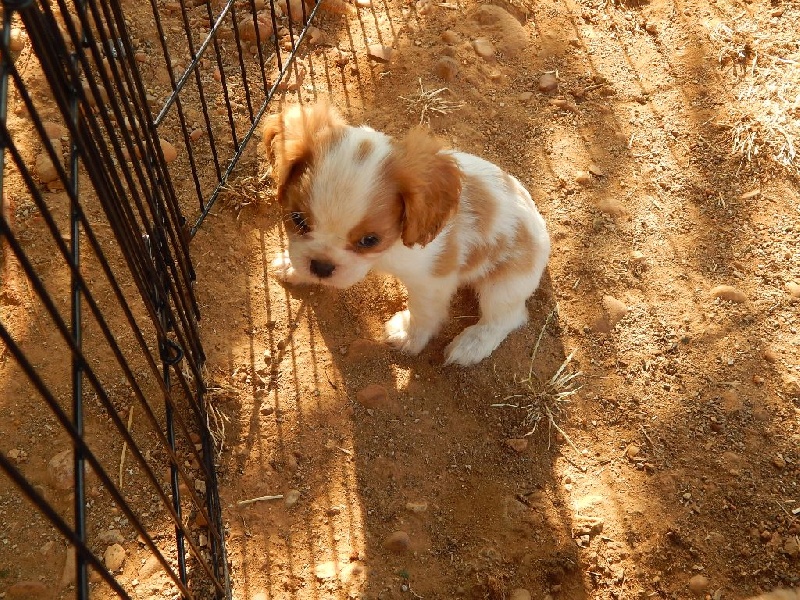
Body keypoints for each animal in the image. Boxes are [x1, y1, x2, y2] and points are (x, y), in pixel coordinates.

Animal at [262, 101, 550, 366]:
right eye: (297, 220)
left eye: (370, 240)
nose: (322, 267)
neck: (387, 252)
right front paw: (293, 268)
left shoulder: (432, 281)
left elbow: (423, 312)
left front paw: (408, 335)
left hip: (504, 286)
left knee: (506, 317)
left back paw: (471, 345)